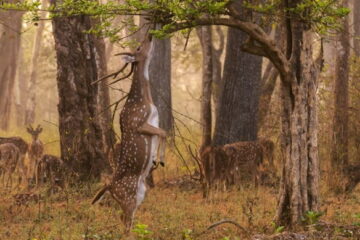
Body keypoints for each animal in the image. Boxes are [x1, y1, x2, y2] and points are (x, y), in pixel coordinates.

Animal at [92, 34, 167, 233]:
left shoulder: (153, 122)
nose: (150, 35)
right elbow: (164, 132)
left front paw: (156, 160)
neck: (146, 101)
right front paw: (160, 159)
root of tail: (109, 186)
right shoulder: (138, 123)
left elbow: (162, 133)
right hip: (128, 196)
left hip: (139, 194)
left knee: (124, 219)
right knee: (125, 222)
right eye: (139, 48)